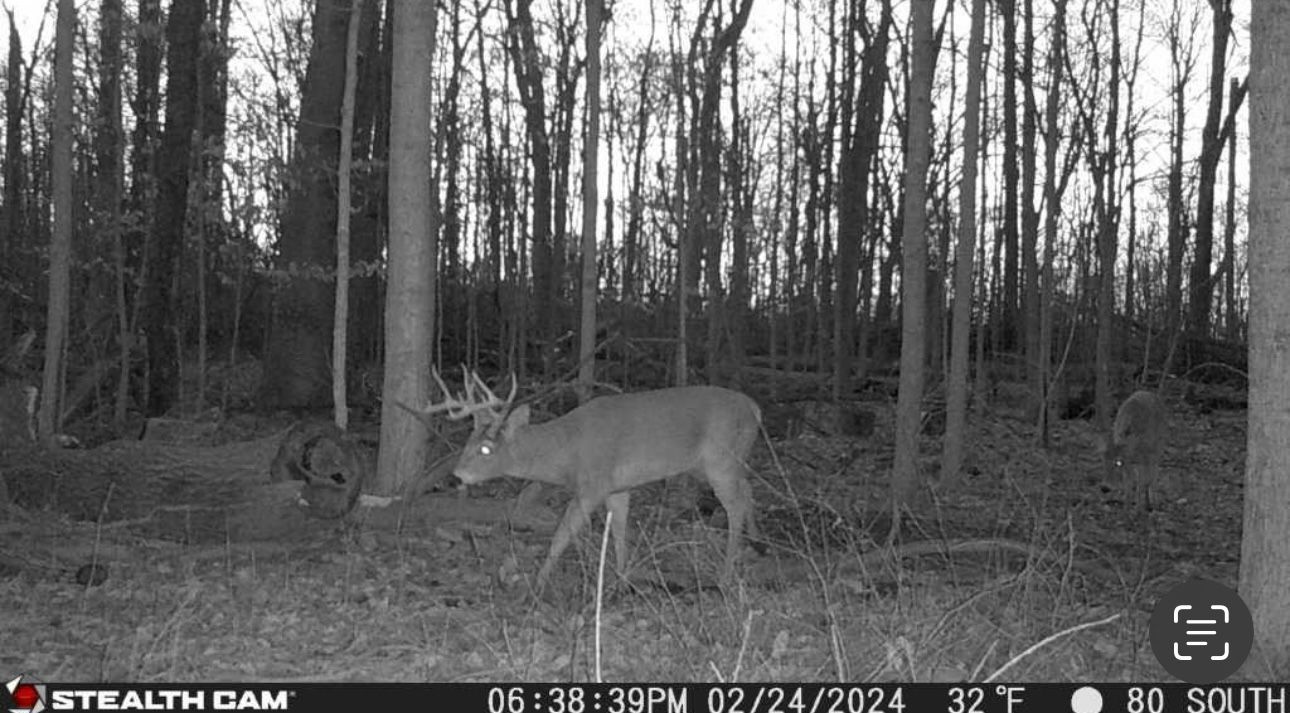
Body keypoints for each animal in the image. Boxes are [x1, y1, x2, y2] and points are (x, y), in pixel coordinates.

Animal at [413, 369, 763, 591]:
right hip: (721, 461)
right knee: (747, 490)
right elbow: (619, 529)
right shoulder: (617, 487)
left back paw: (727, 574)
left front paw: (536, 585)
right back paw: (756, 543)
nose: (458, 474)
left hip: (720, 458)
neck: (565, 451)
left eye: (486, 448)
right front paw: (621, 580)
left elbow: (561, 536)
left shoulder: (592, 484)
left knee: (734, 506)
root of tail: (755, 407)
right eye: (468, 441)